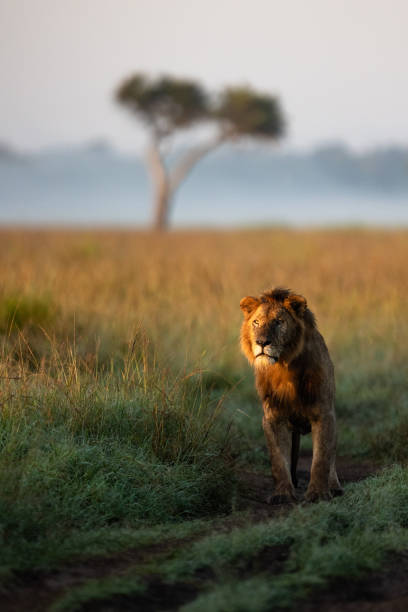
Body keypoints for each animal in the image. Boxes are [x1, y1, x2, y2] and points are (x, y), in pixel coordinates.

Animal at [241, 286, 342, 502]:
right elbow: (278, 459)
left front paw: (317, 493)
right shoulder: (273, 417)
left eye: (278, 322)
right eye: (256, 322)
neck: (284, 367)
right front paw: (282, 493)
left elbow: (321, 458)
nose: (262, 342)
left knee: (332, 457)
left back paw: (334, 486)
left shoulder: (324, 414)